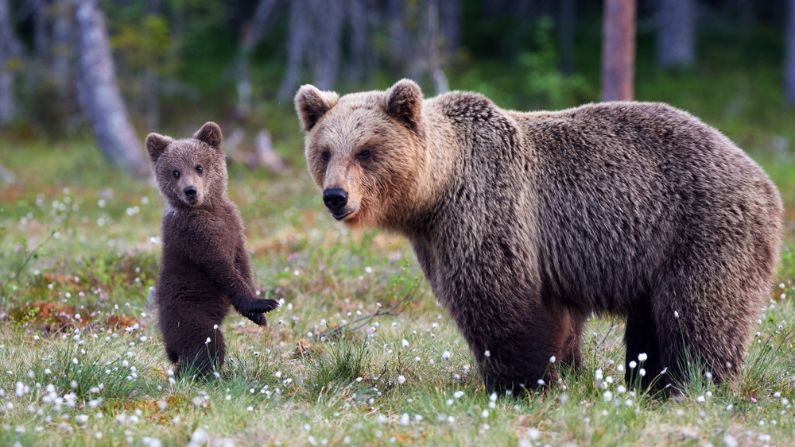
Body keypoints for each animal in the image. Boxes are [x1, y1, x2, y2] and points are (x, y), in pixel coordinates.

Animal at [146, 122, 279, 378]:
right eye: (175, 171)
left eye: (199, 166)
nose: (190, 191)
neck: (207, 209)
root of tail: (168, 344)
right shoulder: (195, 236)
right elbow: (222, 267)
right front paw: (263, 304)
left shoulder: (233, 225)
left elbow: (242, 263)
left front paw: (258, 316)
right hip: (188, 313)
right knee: (206, 344)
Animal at [294, 79, 783, 394]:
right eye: (325, 152)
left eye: (366, 151)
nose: (335, 196)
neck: (435, 193)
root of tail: (764, 179)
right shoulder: (439, 237)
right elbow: (556, 318)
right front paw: (565, 372)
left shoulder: (488, 212)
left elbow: (499, 302)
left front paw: (519, 384)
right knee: (653, 323)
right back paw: (651, 384)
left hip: (701, 230)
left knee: (697, 314)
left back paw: (695, 384)